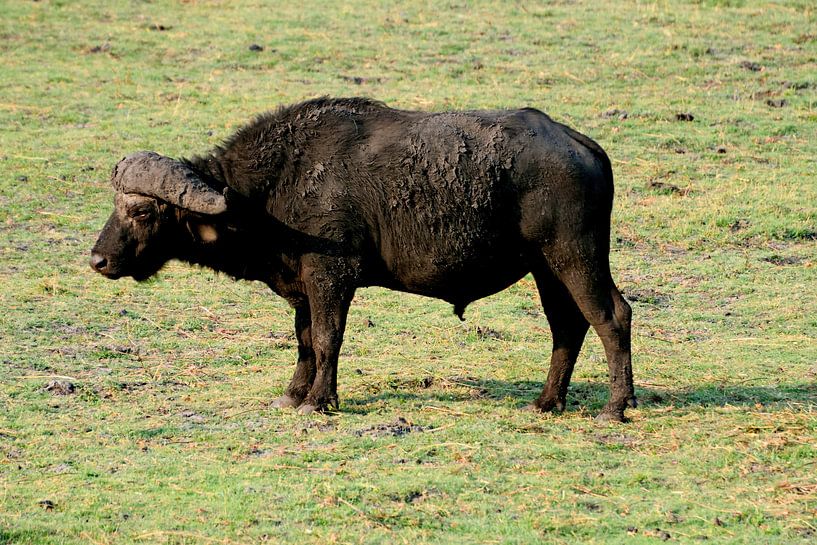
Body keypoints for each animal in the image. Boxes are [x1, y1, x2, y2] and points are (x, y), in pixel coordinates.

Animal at [90, 97, 635, 421]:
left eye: (140, 210)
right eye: (115, 204)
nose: (98, 259)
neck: (273, 188)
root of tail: (583, 146)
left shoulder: (331, 277)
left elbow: (328, 338)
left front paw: (319, 400)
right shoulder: (302, 287)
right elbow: (305, 341)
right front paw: (294, 393)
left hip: (575, 256)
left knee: (612, 316)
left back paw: (616, 406)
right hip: (546, 269)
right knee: (567, 326)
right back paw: (548, 401)